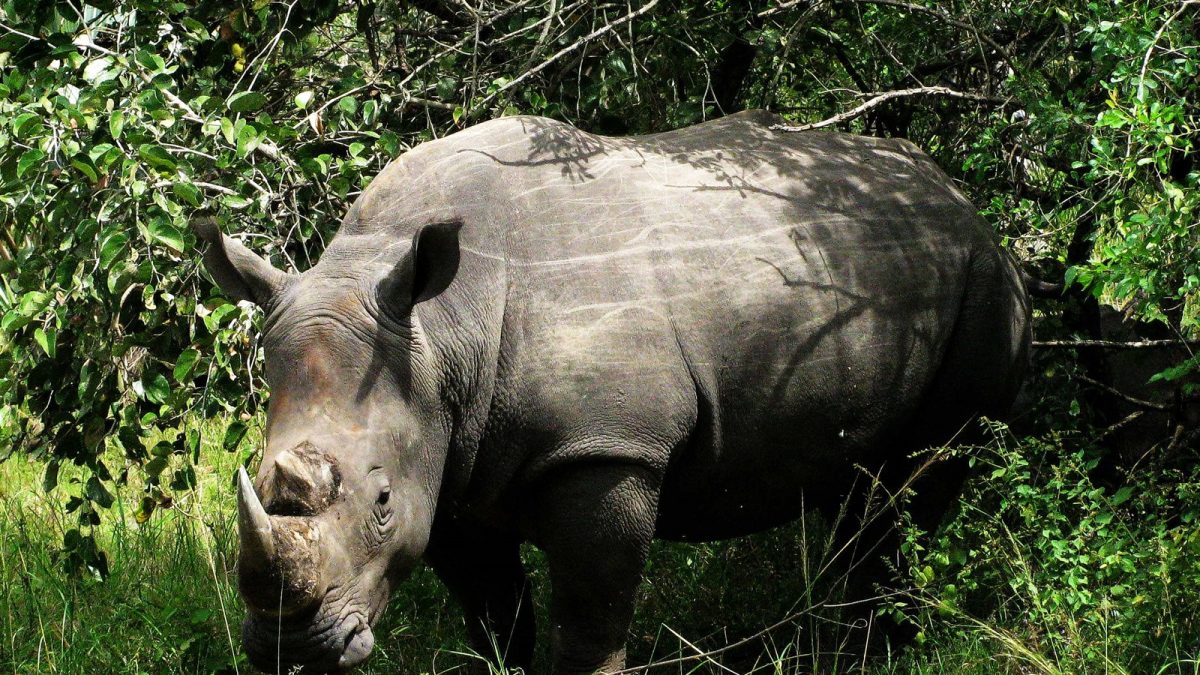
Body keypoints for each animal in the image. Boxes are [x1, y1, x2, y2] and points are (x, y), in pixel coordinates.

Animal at [195, 110, 1030, 674]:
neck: (441, 328)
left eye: (378, 502)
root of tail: (956, 192)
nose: (291, 646)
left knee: (922, 477)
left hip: (984, 281)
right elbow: (495, 615)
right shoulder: (446, 461)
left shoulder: (606, 448)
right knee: (863, 487)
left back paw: (882, 647)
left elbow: (589, 619)